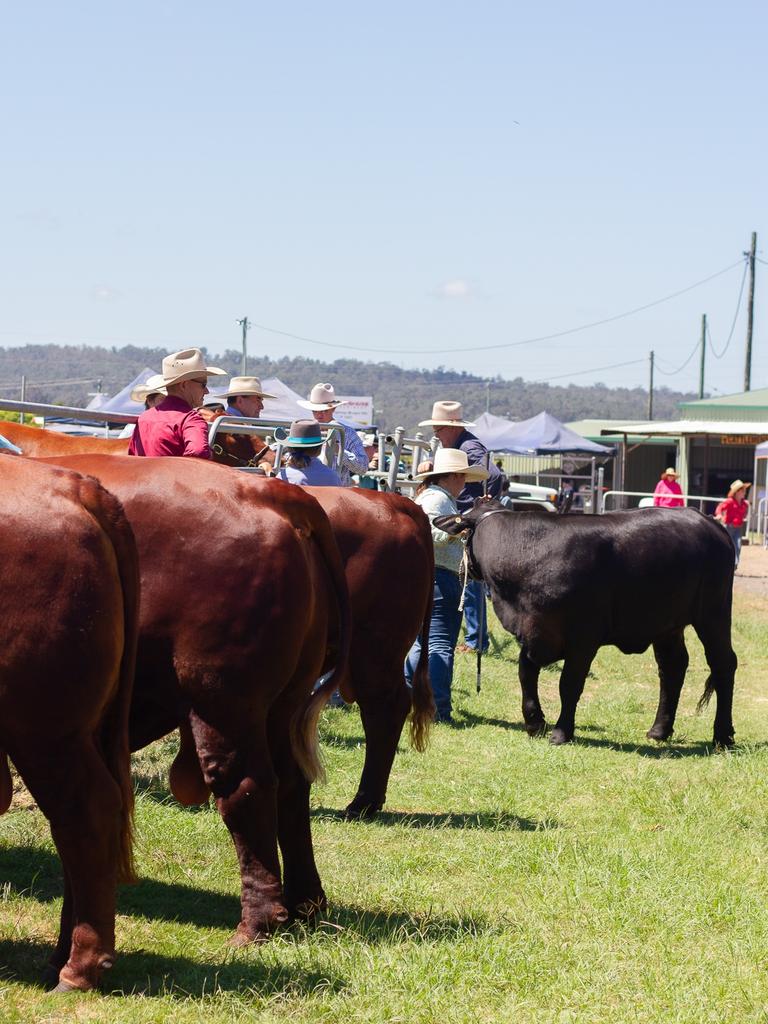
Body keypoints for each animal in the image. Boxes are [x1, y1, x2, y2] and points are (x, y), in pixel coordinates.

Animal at [43, 456, 350, 942]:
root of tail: (270, 492)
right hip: (283, 703)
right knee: (291, 784)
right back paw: (305, 904)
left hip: (222, 700)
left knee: (246, 788)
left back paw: (258, 922)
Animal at [436, 501, 737, 745]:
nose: (462, 570)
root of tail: (707, 521)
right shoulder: (534, 632)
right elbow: (526, 673)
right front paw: (535, 723)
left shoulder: (583, 638)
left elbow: (569, 684)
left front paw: (560, 732)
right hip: (667, 623)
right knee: (672, 668)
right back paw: (659, 731)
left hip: (713, 612)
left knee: (723, 663)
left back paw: (723, 736)